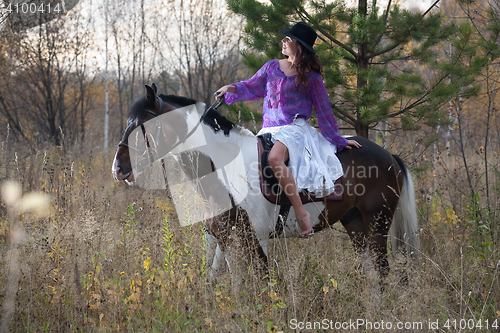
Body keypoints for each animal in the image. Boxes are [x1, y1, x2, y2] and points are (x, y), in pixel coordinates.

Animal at [112, 83, 418, 282]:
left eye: (142, 125)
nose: (118, 168)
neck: (225, 168)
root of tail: (389, 156)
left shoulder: (256, 239)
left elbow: (262, 283)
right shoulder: (225, 240)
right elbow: (229, 283)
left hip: (377, 222)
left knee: (382, 271)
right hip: (355, 223)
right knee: (373, 274)